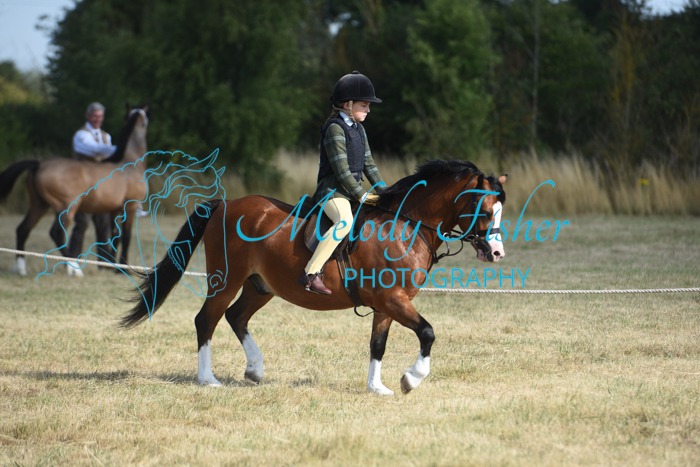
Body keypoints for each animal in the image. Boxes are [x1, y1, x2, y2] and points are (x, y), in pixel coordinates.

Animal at [0, 105, 149, 277]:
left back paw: (21, 268)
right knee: (57, 233)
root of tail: (38, 164)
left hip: (39, 205)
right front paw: (123, 269)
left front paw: (113, 266)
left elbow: (114, 237)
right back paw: (74, 268)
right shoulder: (130, 206)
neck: (130, 163)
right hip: (67, 208)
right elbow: (126, 237)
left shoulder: (114, 210)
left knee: (23, 229)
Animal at [121, 159, 507, 395]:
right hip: (225, 279)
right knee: (207, 319)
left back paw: (255, 370)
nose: (496, 253)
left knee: (236, 316)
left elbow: (378, 344)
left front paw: (377, 387)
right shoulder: (392, 300)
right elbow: (427, 332)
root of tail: (225, 205)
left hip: (261, 286)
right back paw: (208, 379)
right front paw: (410, 380)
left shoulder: (389, 304)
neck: (406, 226)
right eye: (485, 210)